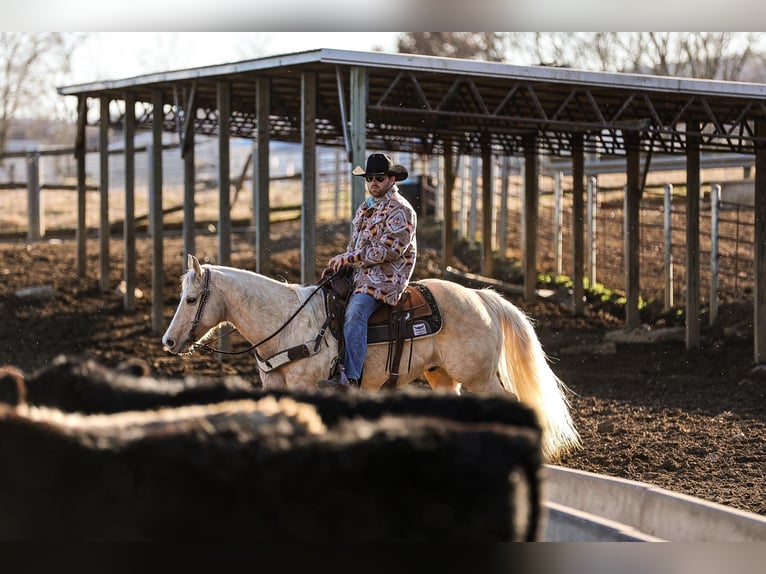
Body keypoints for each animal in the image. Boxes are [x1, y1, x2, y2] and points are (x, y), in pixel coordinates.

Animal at [164, 255, 584, 460]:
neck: (287, 322)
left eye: (191, 299)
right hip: (441, 376)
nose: (168, 341)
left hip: (478, 376)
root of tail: (482, 297)